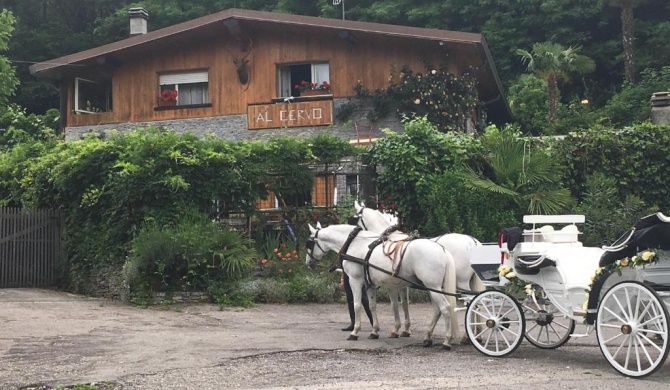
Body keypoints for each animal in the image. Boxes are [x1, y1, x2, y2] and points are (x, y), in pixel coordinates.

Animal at [308, 224, 462, 348]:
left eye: (309, 243)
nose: (308, 263)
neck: (355, 243)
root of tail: (443, 250)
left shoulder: (355, 280)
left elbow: (357, 305)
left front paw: (355, 331)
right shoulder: (370, 283)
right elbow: (372, 306)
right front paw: (375, 331)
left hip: (433, 287)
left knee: (445, 308)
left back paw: (447, 340)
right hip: (433, 287)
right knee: (437, 310)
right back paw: (428, 337)